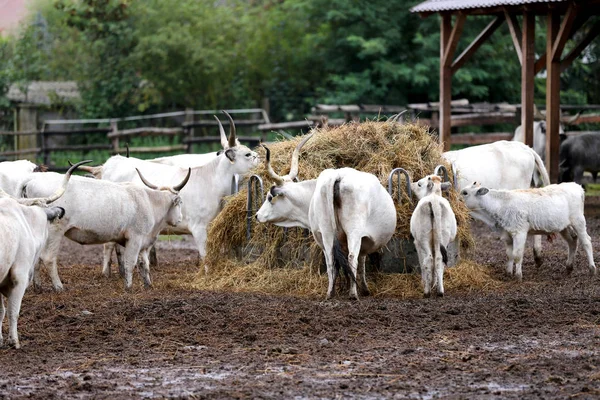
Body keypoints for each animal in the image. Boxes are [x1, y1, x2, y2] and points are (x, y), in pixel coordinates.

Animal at [22, 167, 190, 290]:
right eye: (180, 202)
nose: (180, 218)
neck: (148, 201)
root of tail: (31, 180)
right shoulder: (134, 239)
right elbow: (130, 263)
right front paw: (128, 287)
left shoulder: (144, 242)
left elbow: (145, 265)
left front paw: (148, 285)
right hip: (55, 231)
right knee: (49, 258)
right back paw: (59, 287)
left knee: (37, 259)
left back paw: (38, 287)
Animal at [460, 181, 596, 282]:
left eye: (465, 193)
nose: (456, 198)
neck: (501, 205)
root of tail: (576, 186)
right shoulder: (507, 234)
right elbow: (509, 254)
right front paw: (508, 273)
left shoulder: (519, 232)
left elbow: (517, 254)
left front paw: (518, 276)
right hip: (563, 226)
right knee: (572, 241)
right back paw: (568, 268)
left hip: (578, 221)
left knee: (586, 242)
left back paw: (592, 269)